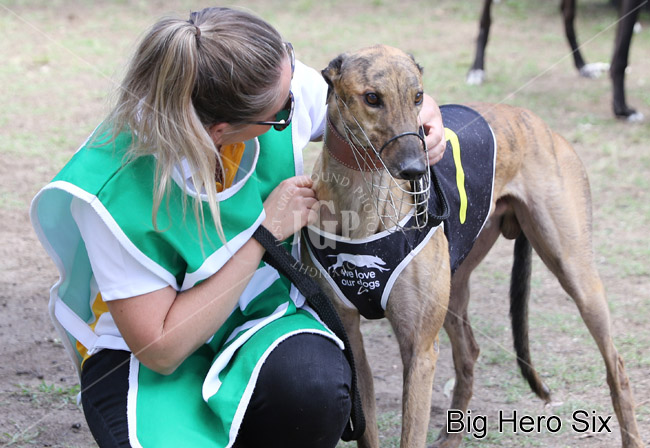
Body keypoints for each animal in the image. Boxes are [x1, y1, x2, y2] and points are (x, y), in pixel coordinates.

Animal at [300, 45, 643, 447]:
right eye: (372, 98)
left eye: (418, 97)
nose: (416, 170)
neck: (364, 204)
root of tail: (539, 123)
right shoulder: (352, 342)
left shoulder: (419, 348)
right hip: (456, 284)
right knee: (469, 353)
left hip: (575, 272)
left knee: (616, 364)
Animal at [467, 0, 645, 121]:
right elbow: (622, 56)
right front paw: (622, 109)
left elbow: (619, 52)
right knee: (485, 20)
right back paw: (477, 69)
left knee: (567, 16)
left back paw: (583, 66)